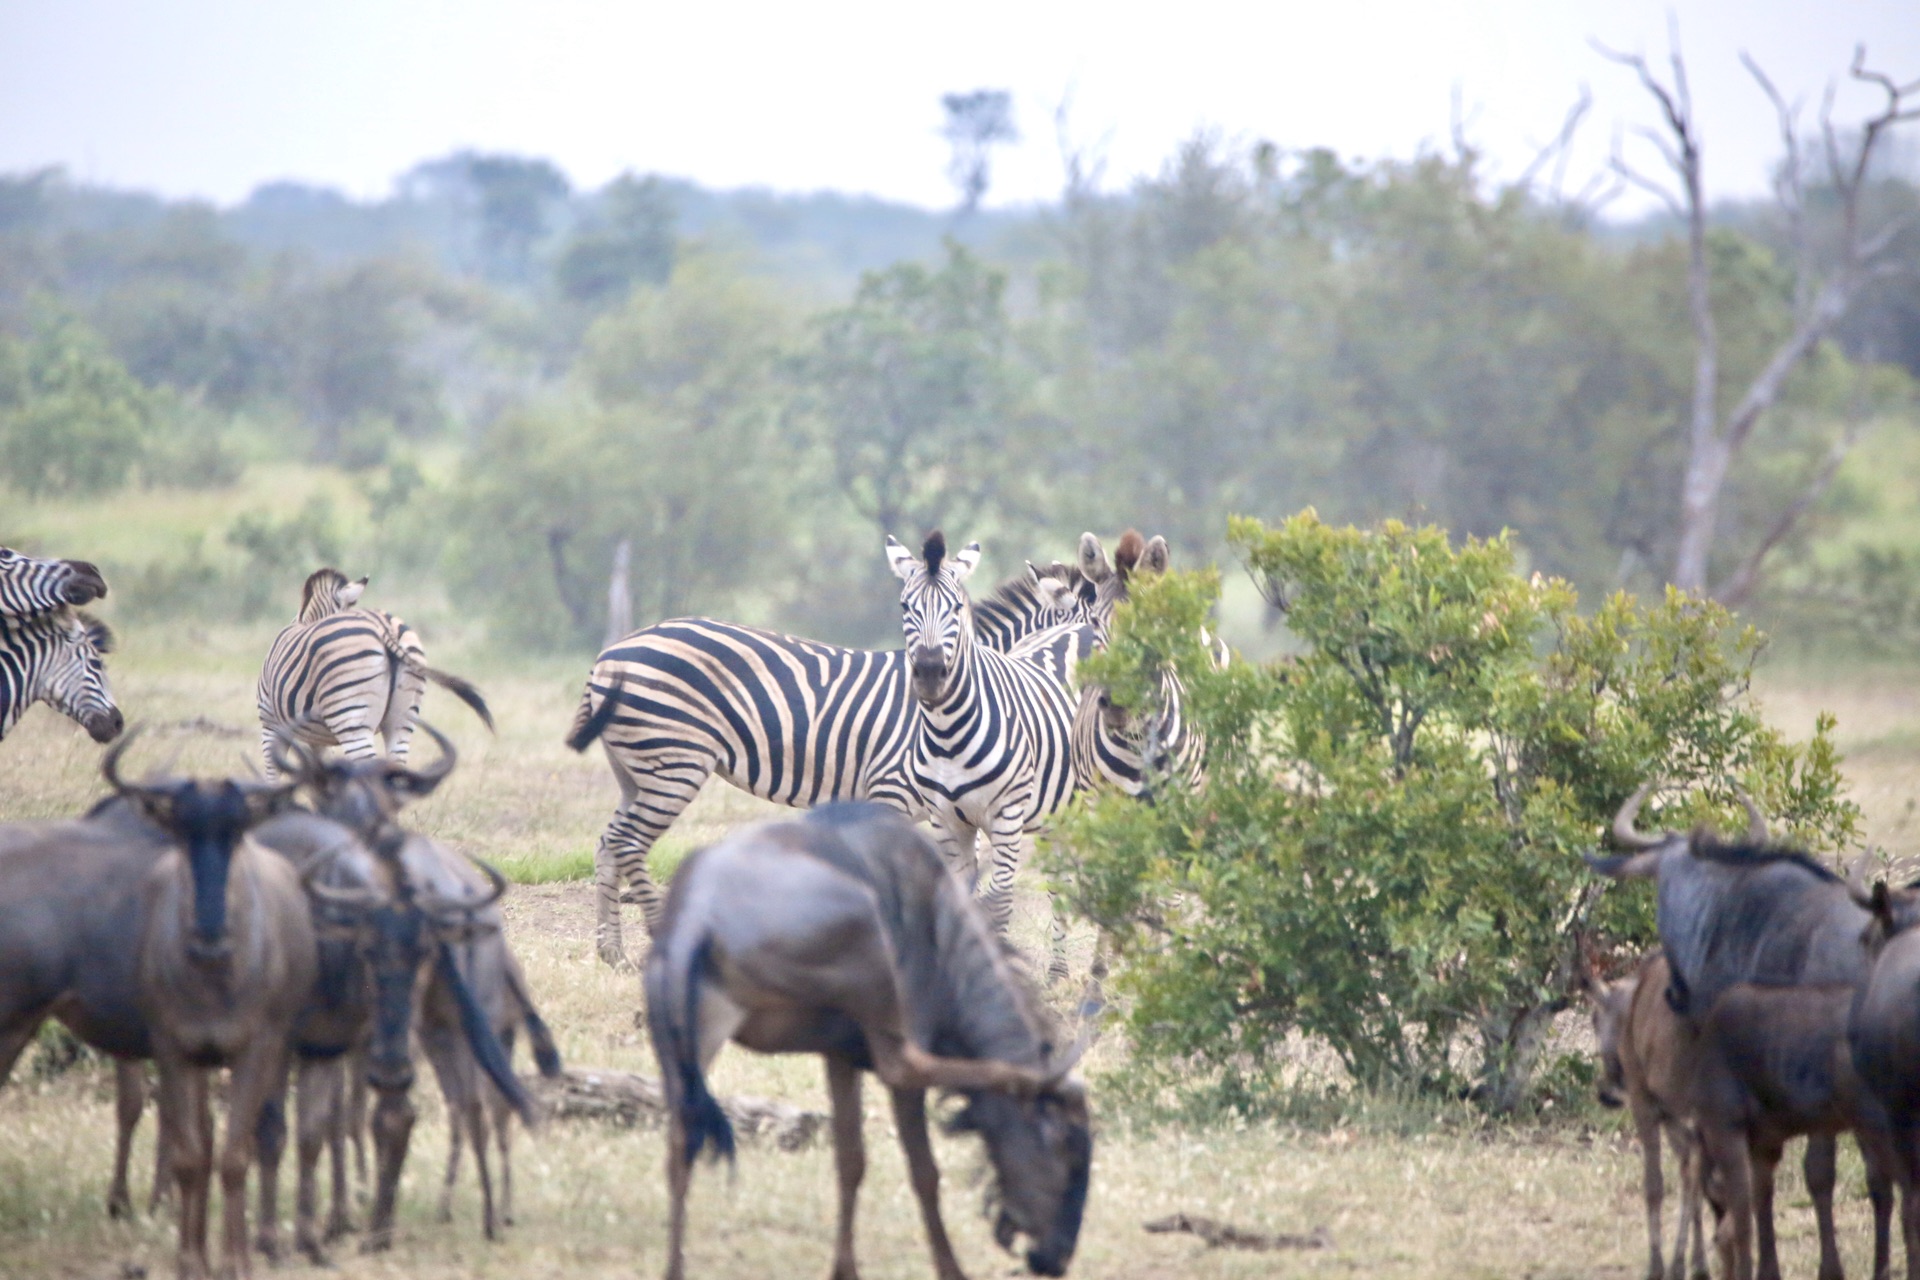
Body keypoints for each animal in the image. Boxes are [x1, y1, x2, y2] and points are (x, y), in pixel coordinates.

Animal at [255, 571, 495, 782]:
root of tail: (382, 626)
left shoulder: (270, 722)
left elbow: (273, 775)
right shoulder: (316, 737)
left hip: (350, 717)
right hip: (401, 720)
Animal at [560, 552, 1105, 971]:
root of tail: (611, 655)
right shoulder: (897, 794)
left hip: (636, 771)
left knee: (608, 843)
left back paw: (613, 954)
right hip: (673, 764)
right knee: (629, 844)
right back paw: (654, 937)